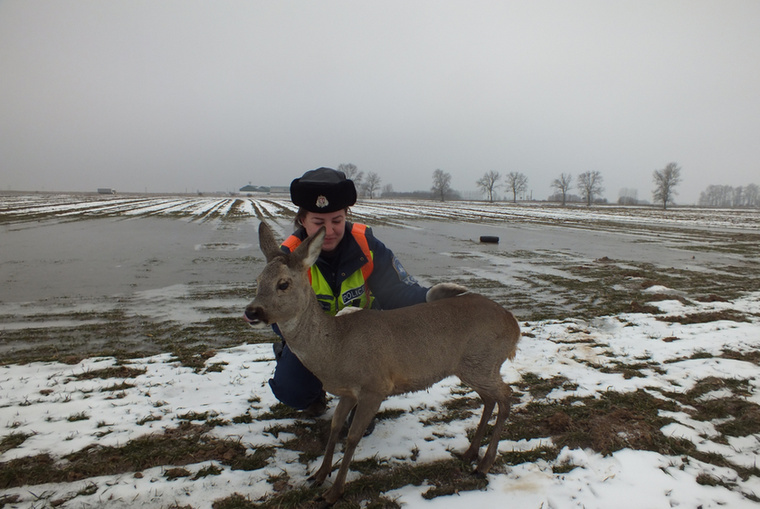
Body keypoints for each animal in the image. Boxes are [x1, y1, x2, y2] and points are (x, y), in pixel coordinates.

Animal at [246, 222, 520, 504]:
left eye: (283, 283)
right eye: (257, 281)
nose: (251, 312)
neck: (336, 348)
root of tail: (514, 325)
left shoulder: (374, 387)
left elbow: (353, 436)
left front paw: (334, 492)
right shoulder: (348, 392)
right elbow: (335, 428)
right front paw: (319, 475)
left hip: (483, 361)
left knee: (506, 395)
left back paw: (484, 464)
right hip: (472, 367)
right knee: (490, 399)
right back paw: (470, 453)